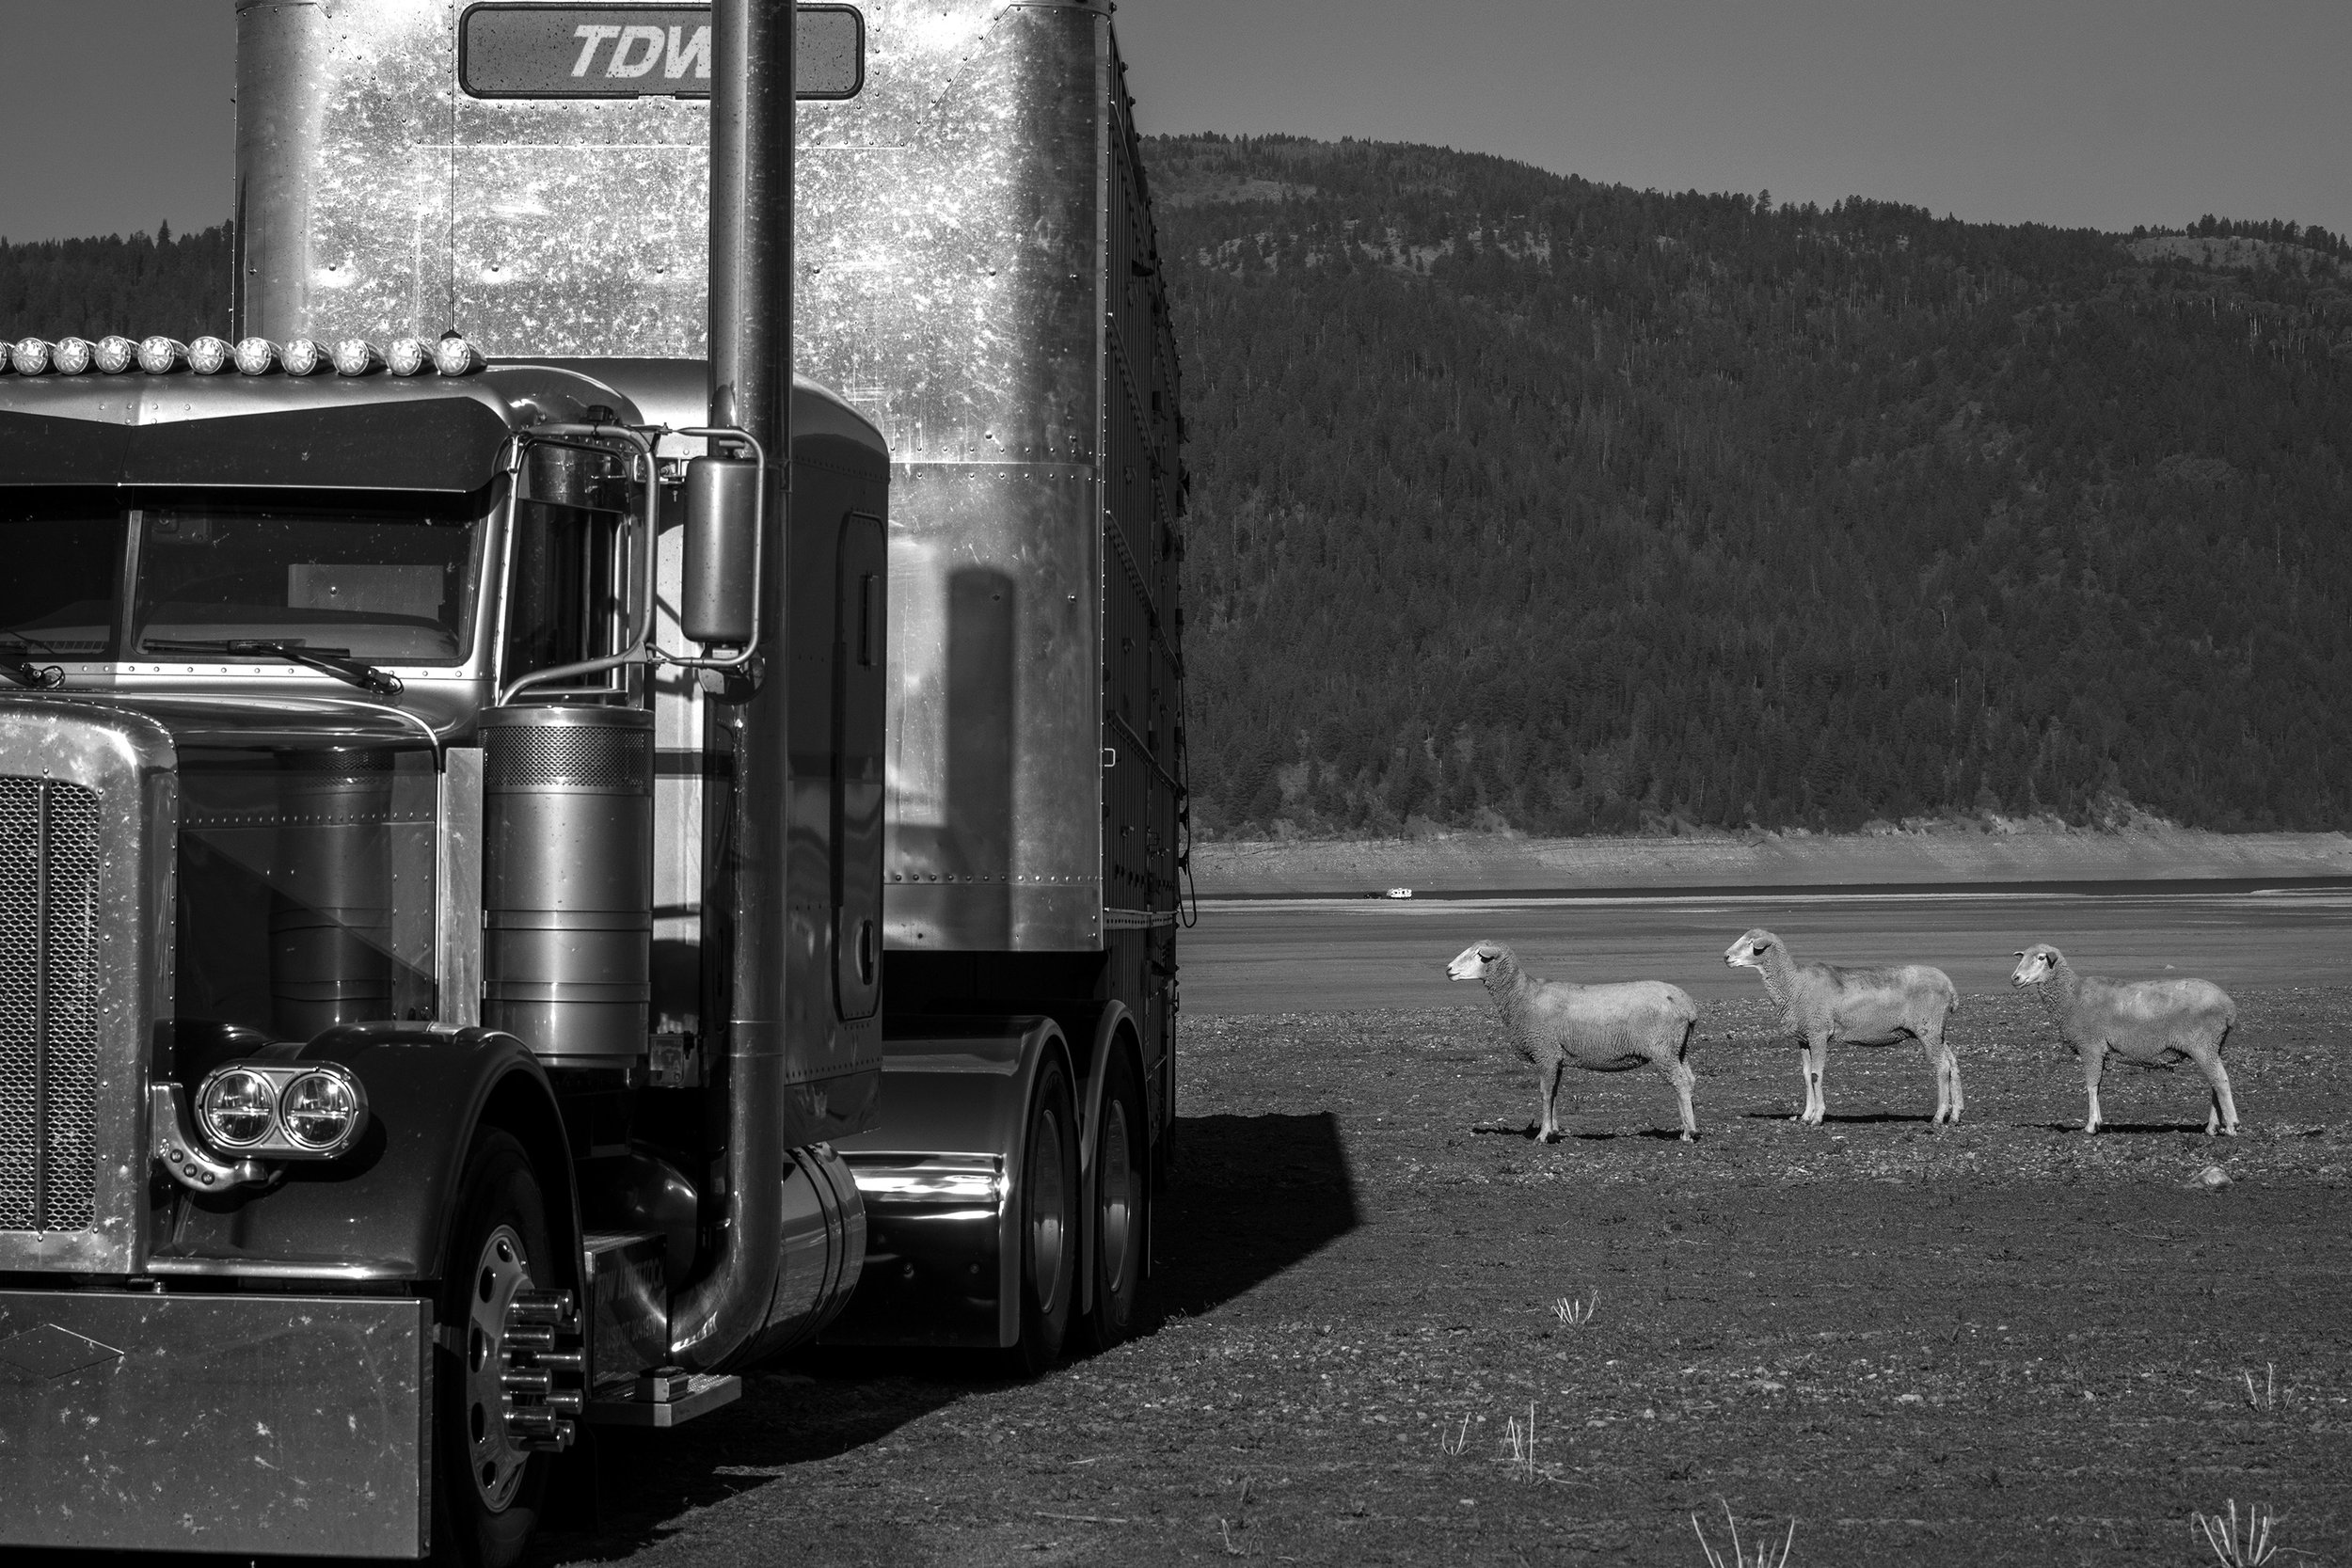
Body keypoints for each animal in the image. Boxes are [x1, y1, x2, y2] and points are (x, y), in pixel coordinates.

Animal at [1446, 941, 1701, 1142]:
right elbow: (1555, 1092)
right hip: (1678, 1048)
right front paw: (1554, 1130)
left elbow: (1545, 1092)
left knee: (1680, 1083)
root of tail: (1688, 1006)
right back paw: (1690, 1128)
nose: (1448, 969)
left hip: (1662, 1048)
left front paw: (1543, 1135)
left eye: (1477, 954)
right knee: (1689, 1080)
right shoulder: (1556, 1056)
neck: (1524, 996)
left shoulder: (1545, 1050)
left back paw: (1688, 1133)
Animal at [1722, 928, 1962, 1126]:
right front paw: (1805, 1116)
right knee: (1952, 1063)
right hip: (1936, 1031)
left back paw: (1938, 1117)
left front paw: (1817, 1118)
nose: (1725, 957)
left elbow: (1816, 1074)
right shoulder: (1803, 1038)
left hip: (1927, 1028)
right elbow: (1806, 1075)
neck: (1795, 983)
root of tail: (1951, 987)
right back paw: (1956, 1114)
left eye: (1750, 942)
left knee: (1942, 1067)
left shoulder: (1818, 1031)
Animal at [2009, 943, 2240, 1136]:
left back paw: (2231, 1126)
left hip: (2202, 1043)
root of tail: (2229, 1007)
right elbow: (2098, 1085)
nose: (2015, 978)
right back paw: (2212, 1127)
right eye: (2023, 957)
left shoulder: (2090, 1046)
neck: (2073, 996)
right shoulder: (2099, 1050)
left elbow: (2091, 1085)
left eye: (2041, 958)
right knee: (2214, 1082)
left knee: (2220, 1080)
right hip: (2213, 1045)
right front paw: (2099, 1122)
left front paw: (2091, 1126)